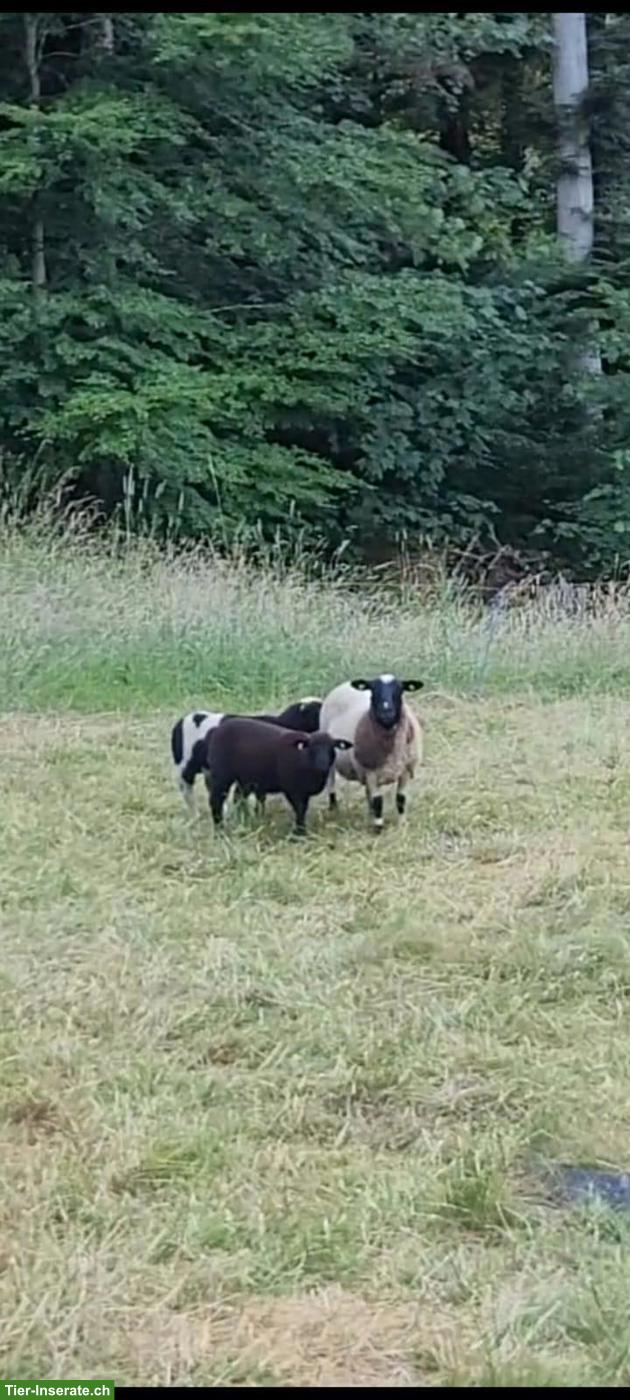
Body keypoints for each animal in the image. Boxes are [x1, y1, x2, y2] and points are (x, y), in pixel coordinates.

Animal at [170, 697, 322, 811]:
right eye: (318, 709)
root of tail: (181, 722)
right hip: (185, 766)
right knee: (187, 790)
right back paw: (195, 814)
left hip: (208, 769)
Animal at [203, 717, 352, 837]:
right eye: (312, 747)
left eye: (331, 747)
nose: (322, 764)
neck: (303, 758)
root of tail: (217, 730)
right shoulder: (292, 789)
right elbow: (299, 810)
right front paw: (299, 833)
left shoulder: (303, 791)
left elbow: (303, 809)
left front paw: (301, 830)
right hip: (221, 774)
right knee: (216, 800)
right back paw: (219, 829)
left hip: (245, 778)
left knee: (238, 797)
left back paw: (244, 821)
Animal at [319, 674, 424, 832]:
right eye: (373, 690)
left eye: (400, 690)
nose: (386, 712)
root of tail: (344, 684)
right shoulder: (371, 773)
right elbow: (378, 801)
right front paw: (378, 828)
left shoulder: (405, 770)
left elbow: (400, 799)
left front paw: (402, 824)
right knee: (331, 782)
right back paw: (334, 807)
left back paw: (369, 813)